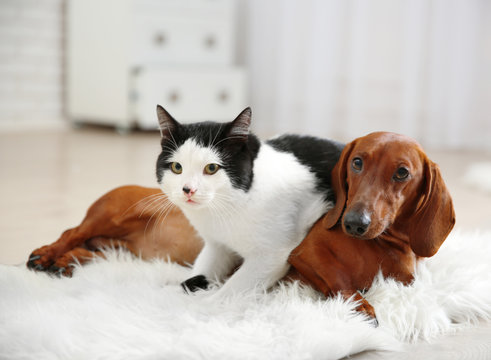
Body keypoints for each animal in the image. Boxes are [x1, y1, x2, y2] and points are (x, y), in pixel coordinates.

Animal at [26, 186, 204, 276]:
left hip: (120, 251)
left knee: (85, 250)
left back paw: (66, 263)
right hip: (115, 216)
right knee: (72, 233)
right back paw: (44, 257)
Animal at [156, 105, 344, 300]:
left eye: (211, 168)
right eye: (177, 167)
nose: (188, 189)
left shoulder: (270, 255)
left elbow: (231, 291)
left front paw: (205, 302)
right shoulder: (216, 245)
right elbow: (203, 266)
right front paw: (173, 291)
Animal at [288, 131, 458, 320]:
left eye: (402, 172)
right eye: (357, 162)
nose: (354, 223)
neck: (385, 243)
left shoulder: (409, 279)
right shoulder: (306, 250)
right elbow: (336, 273)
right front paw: (358, 304)